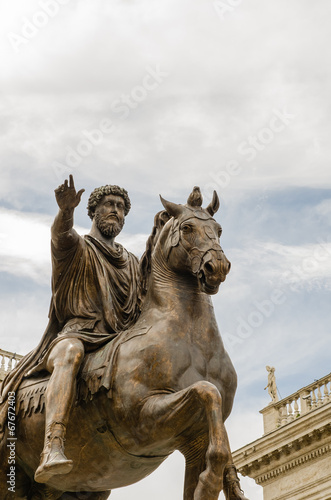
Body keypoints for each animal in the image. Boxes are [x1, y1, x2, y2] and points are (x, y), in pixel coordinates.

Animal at [0, 188, 249, 500]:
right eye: (187, 228)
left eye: (218, 229)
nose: (217, 267)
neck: (192, 341)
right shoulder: (143, 418)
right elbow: (206, 392)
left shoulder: (194, 438)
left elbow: (218, 447)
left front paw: (219, 483)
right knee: (69, 355)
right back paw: (54, 458)